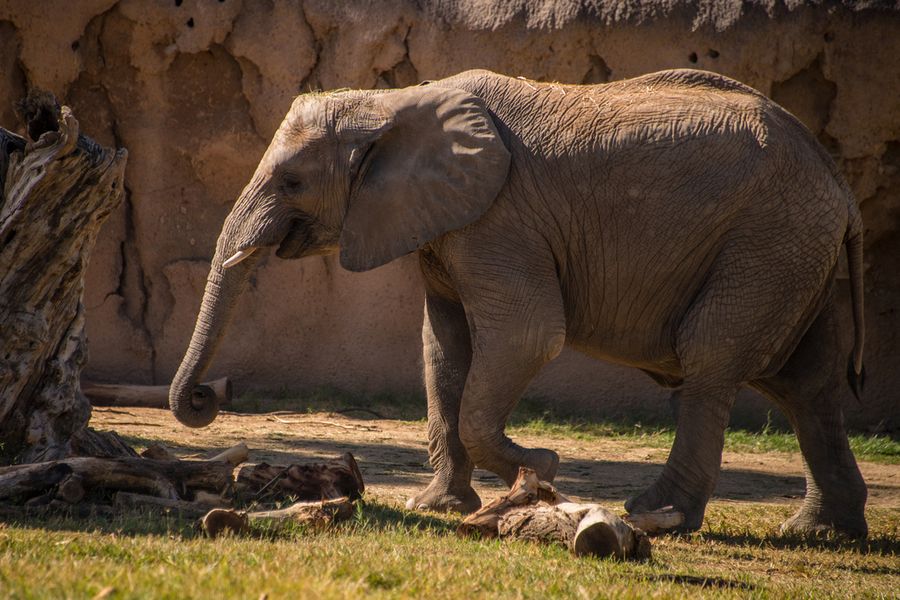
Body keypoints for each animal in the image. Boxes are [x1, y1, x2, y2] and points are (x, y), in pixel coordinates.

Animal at [167, 68, 864, 536]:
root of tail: (840, 184)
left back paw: (656, 515)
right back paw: (820, 533)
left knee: (712, 359)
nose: (206, 396)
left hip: (767, 242)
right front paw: (439, 507)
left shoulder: (500, 218)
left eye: (291, 182)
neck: (394, 102)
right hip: (796, 253)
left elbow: (527, 335)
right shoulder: (447, 223)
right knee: (808, 387)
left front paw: (541, 469)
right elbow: (444, 348)